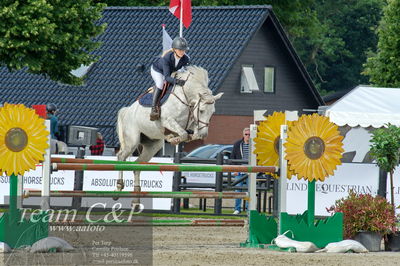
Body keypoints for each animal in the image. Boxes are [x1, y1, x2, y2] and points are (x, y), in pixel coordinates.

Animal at [115, 66, 223, 202]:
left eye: (212, 112)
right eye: (202, 111)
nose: (204, 134)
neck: (186, 98)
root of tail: (127, 110)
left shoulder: (190, 123)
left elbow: (189, 134)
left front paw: (182, 137)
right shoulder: (168, 121)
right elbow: (182, 134)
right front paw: (174, 139)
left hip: (153, 145)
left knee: (137, 166)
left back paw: (136, 200)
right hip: (132, 141)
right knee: (121, 157)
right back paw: (119, 187)